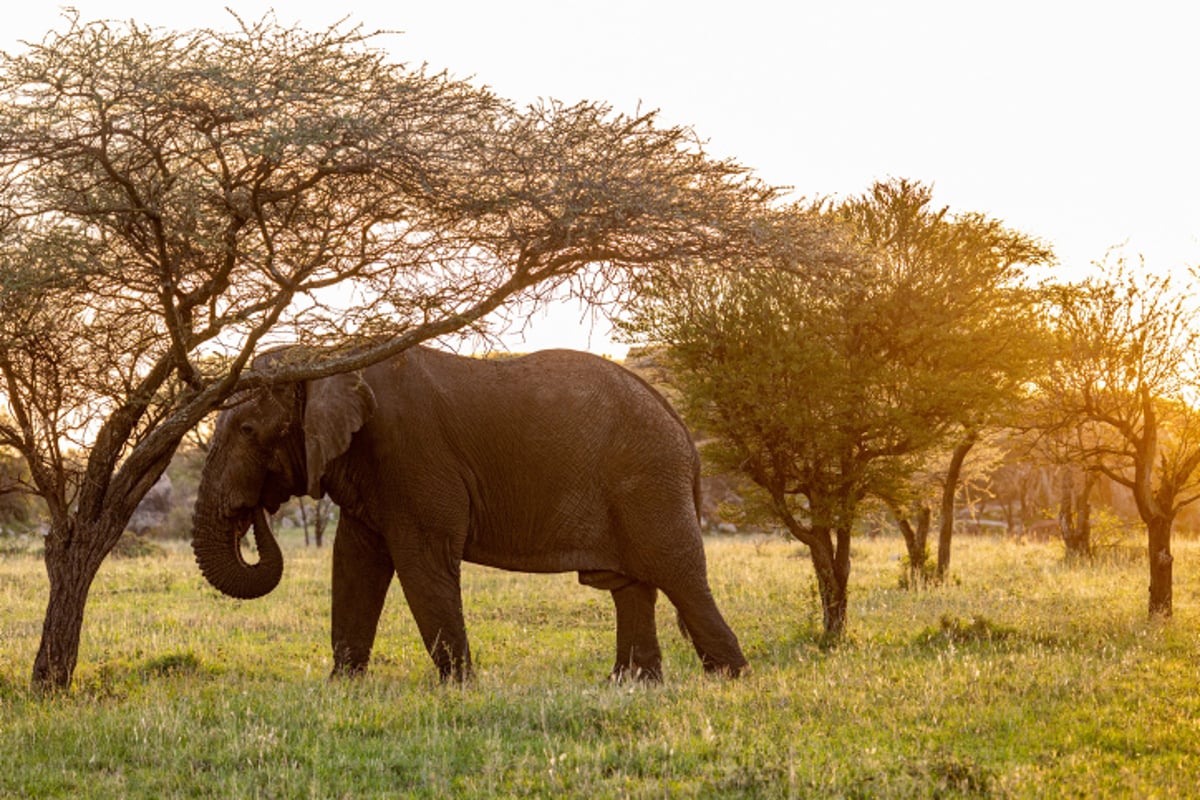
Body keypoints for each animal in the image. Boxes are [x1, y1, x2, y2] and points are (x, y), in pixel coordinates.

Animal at [190, 345, 744, 681]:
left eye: (246, 430)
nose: (254, 508)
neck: (331, 358)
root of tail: (681, 427)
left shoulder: (414, 455)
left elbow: (422, 562)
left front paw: (459, 687)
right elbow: (354, 565)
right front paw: (342, 687)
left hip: (648, 481)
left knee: (680, 576)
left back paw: (727, 679)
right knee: (634, 587)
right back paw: (630, 686)